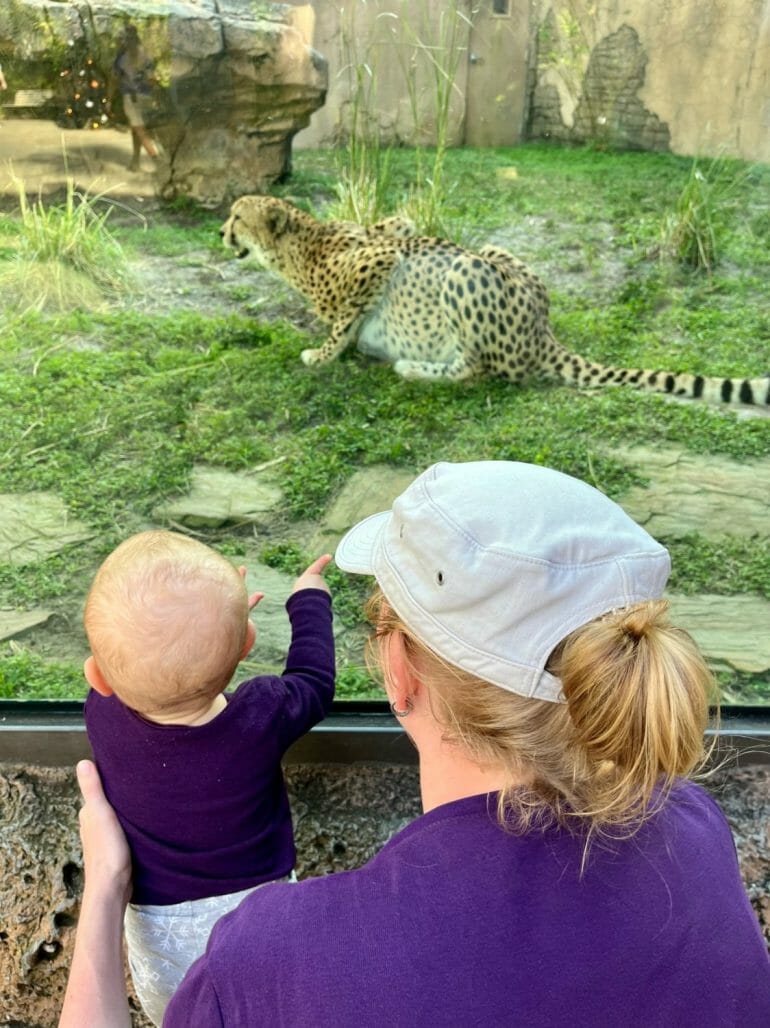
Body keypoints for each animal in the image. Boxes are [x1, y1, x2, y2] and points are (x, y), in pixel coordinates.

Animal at [218, 194, 764, 407]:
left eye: (237, 216)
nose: (219, 232)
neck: (299, 245)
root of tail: (542, 329)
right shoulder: (398, 227)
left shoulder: (383, 255)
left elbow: (344, 318)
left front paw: (323, 353)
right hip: (495, 251)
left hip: (466, 270)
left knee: (482, 370)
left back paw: (414, 368)